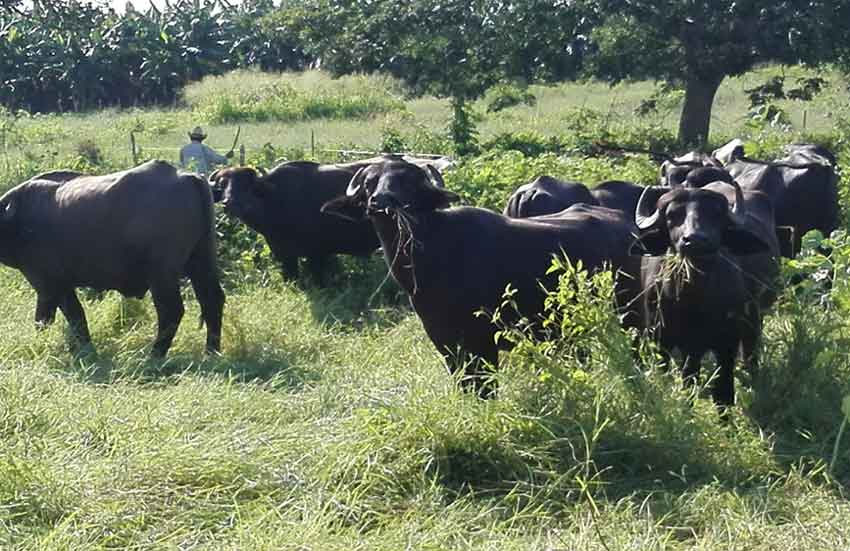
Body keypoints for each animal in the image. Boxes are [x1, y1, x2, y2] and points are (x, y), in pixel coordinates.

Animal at [0, 160, 224, 358]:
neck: (20, 217)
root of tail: (187, 176)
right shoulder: (60, 286)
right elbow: (75, 317)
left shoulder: (48, 285)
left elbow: (52, 318)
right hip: (202, 262)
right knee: (212, 300)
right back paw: (211, 352)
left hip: (162, 274)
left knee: (171, 311)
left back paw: (154, 356)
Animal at [322, 160, 640, 396]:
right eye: (369, 183)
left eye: (407, 182)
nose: (380, 202)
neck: (431, 258)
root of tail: (631, 229)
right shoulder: (445, 341)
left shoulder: (483, 341)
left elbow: (485, 388)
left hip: (631, 317)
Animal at [628, 182, 780, 410]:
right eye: (672, 215)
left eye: (716, 215)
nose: (695, 240)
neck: (693, 300)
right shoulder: (662, 339)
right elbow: (682, 379)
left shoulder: (726, 343)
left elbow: (723, 392)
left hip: (754, 319)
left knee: (750, 355)